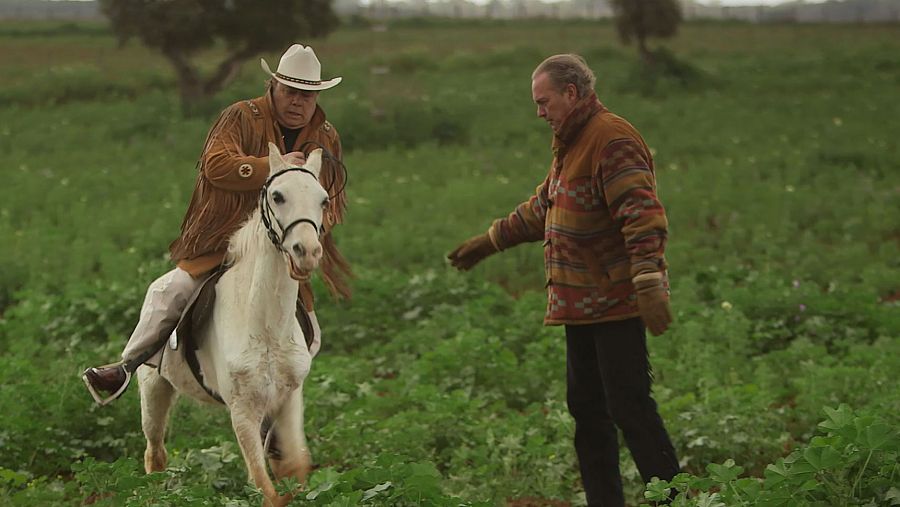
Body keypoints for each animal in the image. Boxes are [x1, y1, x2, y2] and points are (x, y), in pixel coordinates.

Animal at [137, 143, 326, 507]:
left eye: (323, 199)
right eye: (278, 196)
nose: (307, 252)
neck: (265, 328)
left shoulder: (288, 399)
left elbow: (296, 466)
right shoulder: (242, 412)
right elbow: (265, 487)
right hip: (153, 391)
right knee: (154, 453)